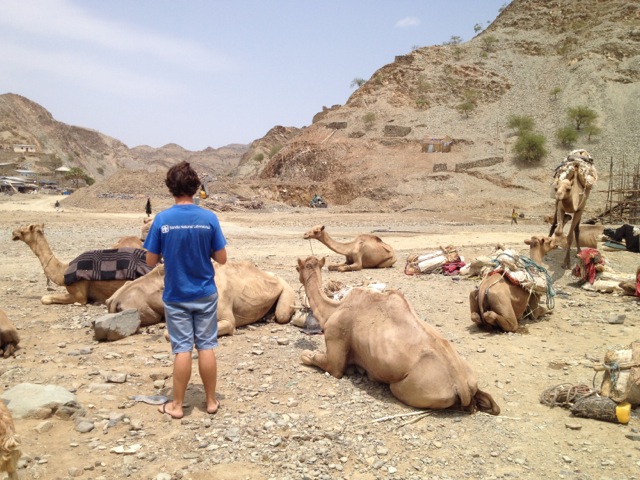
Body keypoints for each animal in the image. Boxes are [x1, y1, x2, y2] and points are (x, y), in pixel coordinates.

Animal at [296, 256, 500, 414]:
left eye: (297, 267)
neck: (334, 308)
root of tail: (462, 387)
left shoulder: (335, 338)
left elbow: (316, 360)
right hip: (470, 378)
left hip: (407, 388)